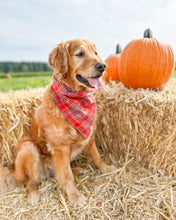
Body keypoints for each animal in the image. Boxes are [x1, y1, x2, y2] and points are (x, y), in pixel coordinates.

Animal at [0, 39, 115, 206]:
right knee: (30, 181)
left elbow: (96, 157)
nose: (102, 66)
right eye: (80, 53)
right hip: (28, 148)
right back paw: (33, 195)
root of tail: (12, 167)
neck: (75, 97)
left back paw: (78, 170)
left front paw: (106, 168)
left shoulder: (89, 136)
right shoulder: (60, 147)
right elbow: (66, 176)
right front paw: (75, 197)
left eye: (95, 53)